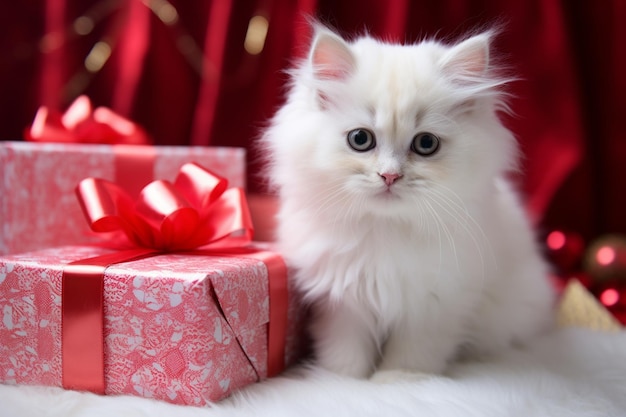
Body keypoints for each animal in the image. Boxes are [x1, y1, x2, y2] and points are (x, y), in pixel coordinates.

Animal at [260, 25, 552, 376]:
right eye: (360, 139)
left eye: (426, 144)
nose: (390, 176)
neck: (385, 230)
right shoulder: (343, 302)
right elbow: (347, 352)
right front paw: (343, 378)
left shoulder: (435, 305)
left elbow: (411, 357)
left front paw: (395, 380)